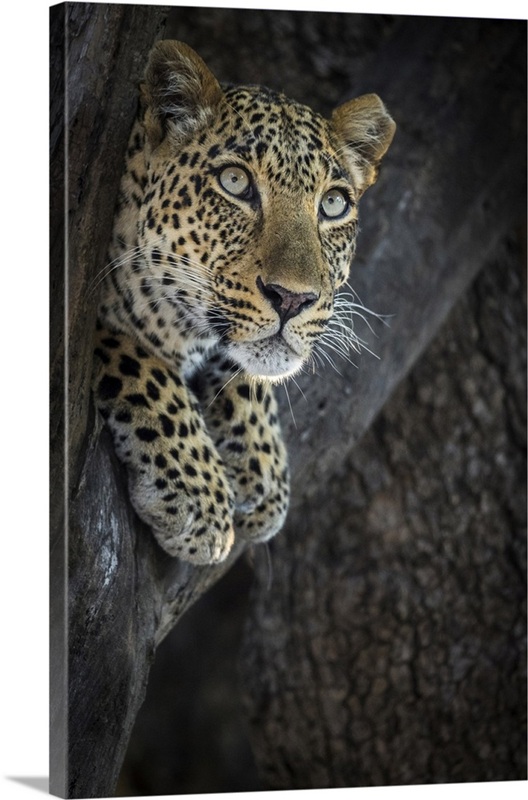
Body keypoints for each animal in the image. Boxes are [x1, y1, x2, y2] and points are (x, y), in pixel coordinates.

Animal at [92, 39, 395, 565]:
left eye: (333, 204)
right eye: (235, 182)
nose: (292, 298)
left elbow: (247, 370)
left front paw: (262, 466)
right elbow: (138, 359)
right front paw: (198, 494)